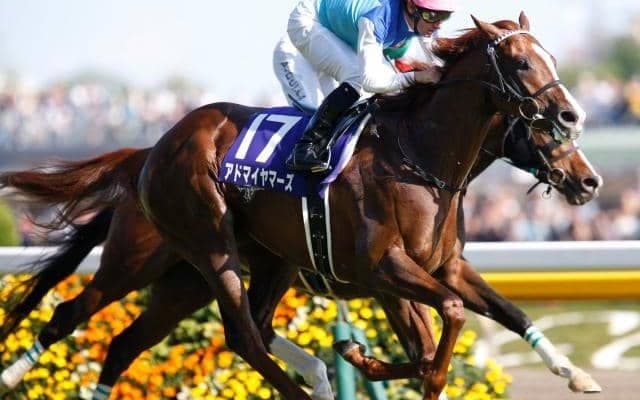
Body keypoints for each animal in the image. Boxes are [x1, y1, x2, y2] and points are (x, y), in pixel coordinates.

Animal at [0, 13, 602, 400]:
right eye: (520, 62)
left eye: (549, 57)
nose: (589, 179)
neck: (419, 157)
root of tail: (152, 150)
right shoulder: (385, 270)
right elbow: (444, 325)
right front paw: (389, 365)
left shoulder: (444, 267)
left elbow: (504, 313)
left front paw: (575, 373)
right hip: (186, 248)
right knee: (234, 334)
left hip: (207, 275)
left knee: (135, 342)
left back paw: (316, 373)